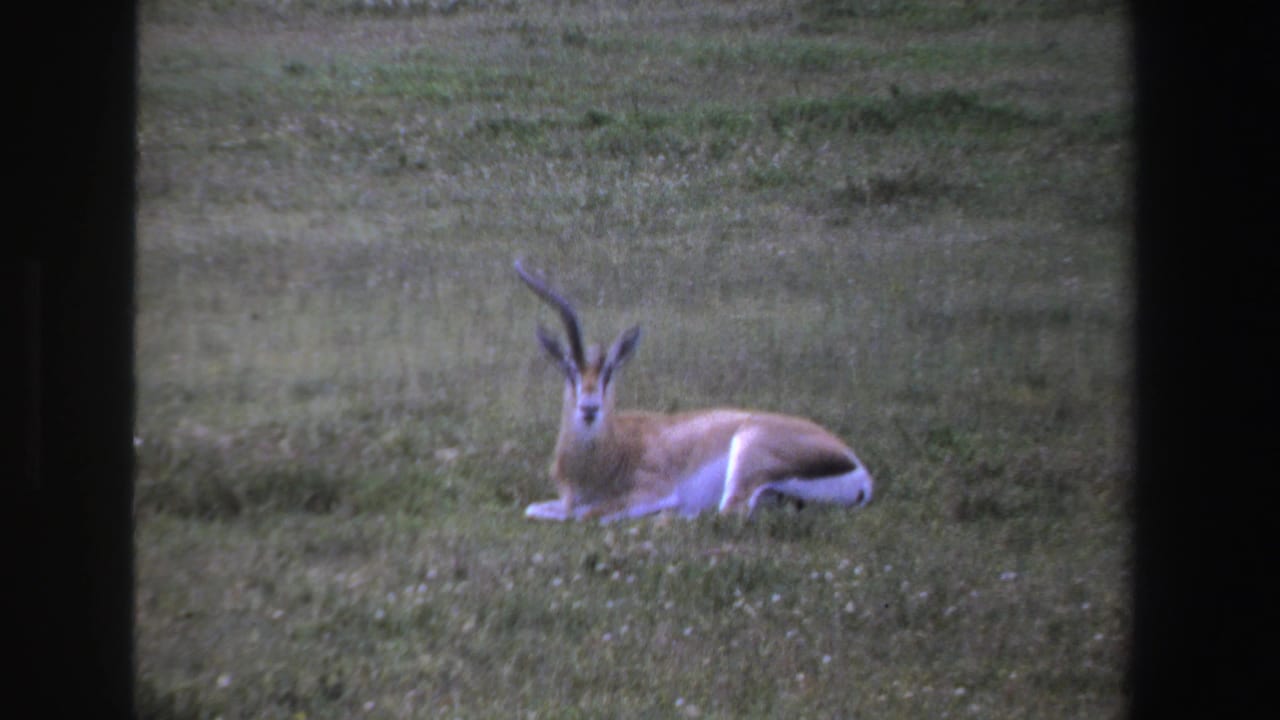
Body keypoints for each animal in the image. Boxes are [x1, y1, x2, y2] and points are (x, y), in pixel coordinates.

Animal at [515, 260, 874, 523]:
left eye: (609, 372)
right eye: (569, 369)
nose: (589, 408)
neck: (613, 451)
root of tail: (857, 467)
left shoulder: (653, 491)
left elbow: (587, 515)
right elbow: (535, 510)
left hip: (746, 454)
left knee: (727, 513)